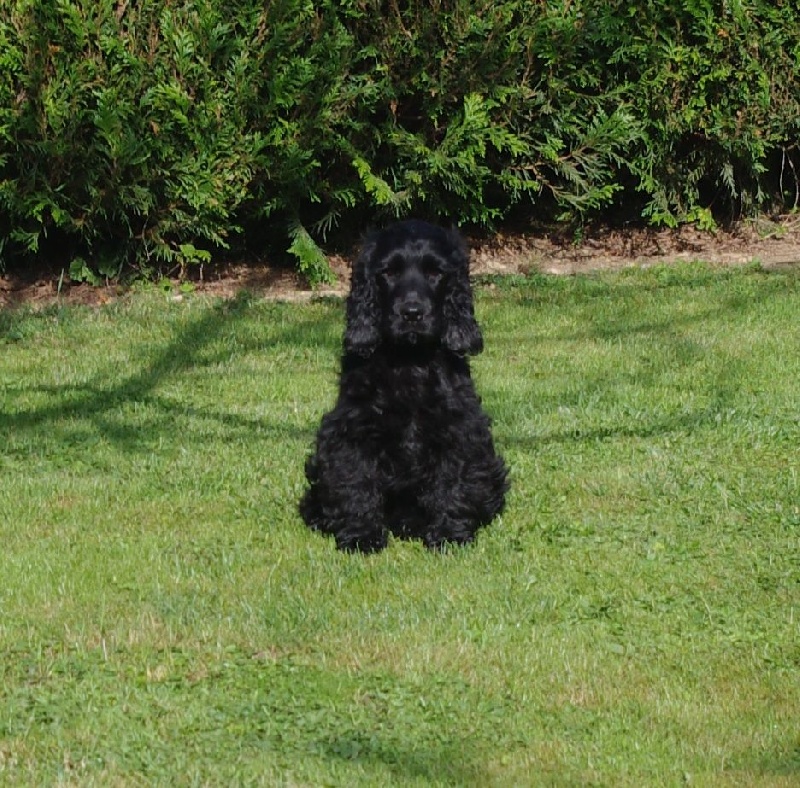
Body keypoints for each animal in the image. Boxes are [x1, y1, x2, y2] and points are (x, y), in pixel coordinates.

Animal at [300, 220, 506, 556]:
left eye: (436, 272)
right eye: (389, 272)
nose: (412, 313)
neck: (410, 360)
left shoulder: (461, 428)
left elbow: (453, 482)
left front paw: (449, 534)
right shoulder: (351, 430)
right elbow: (356, 481)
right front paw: (360, 536)